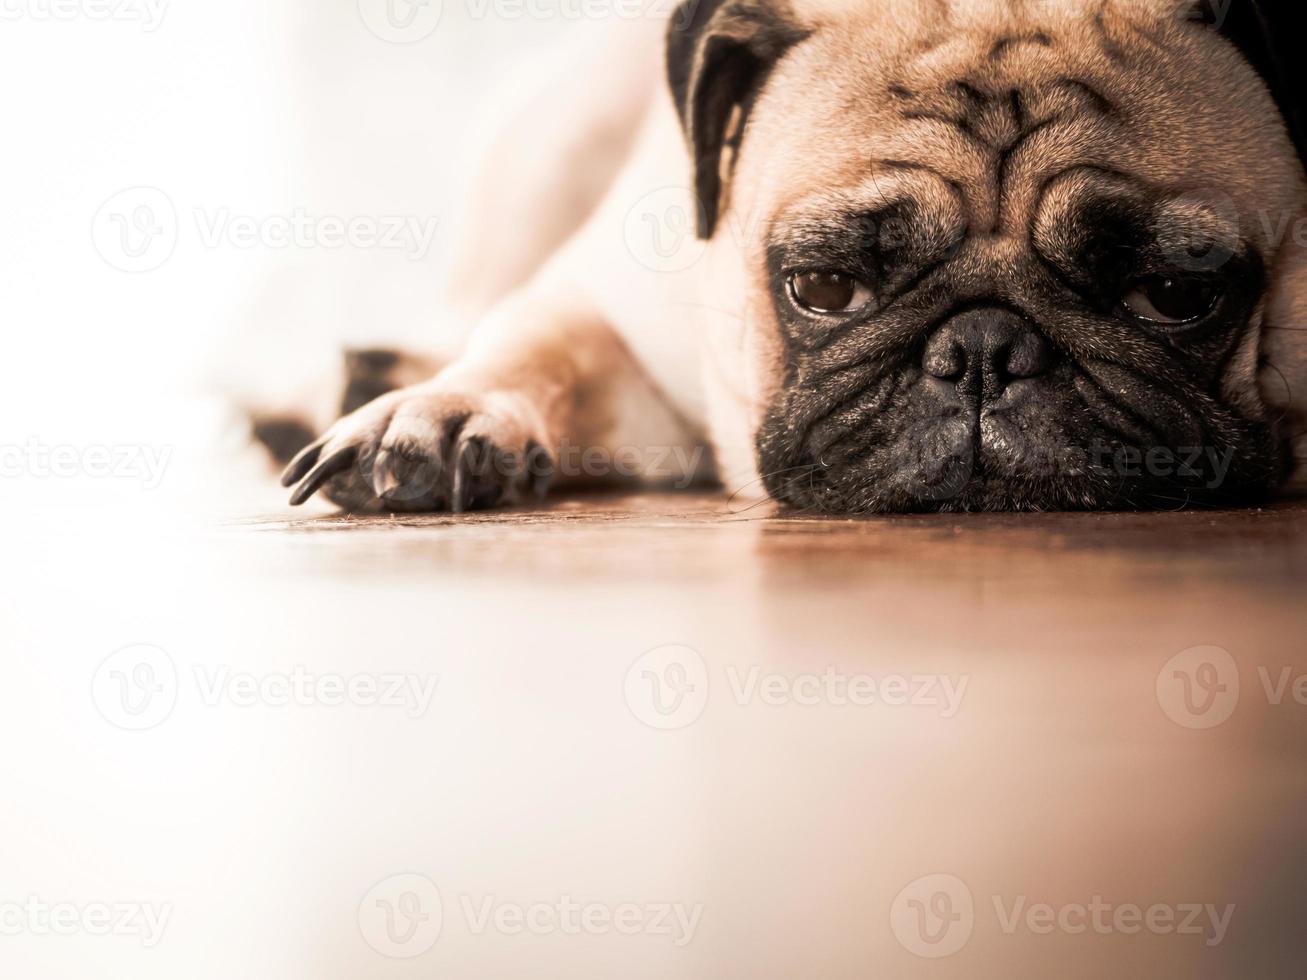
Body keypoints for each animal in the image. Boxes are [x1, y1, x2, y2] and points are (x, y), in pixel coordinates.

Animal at [270, 0, 1301, 517]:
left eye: (1172, 293)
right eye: (823, 286)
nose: (981, 351)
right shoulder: (603, 303)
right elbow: (533, 346)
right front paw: (440, 413)